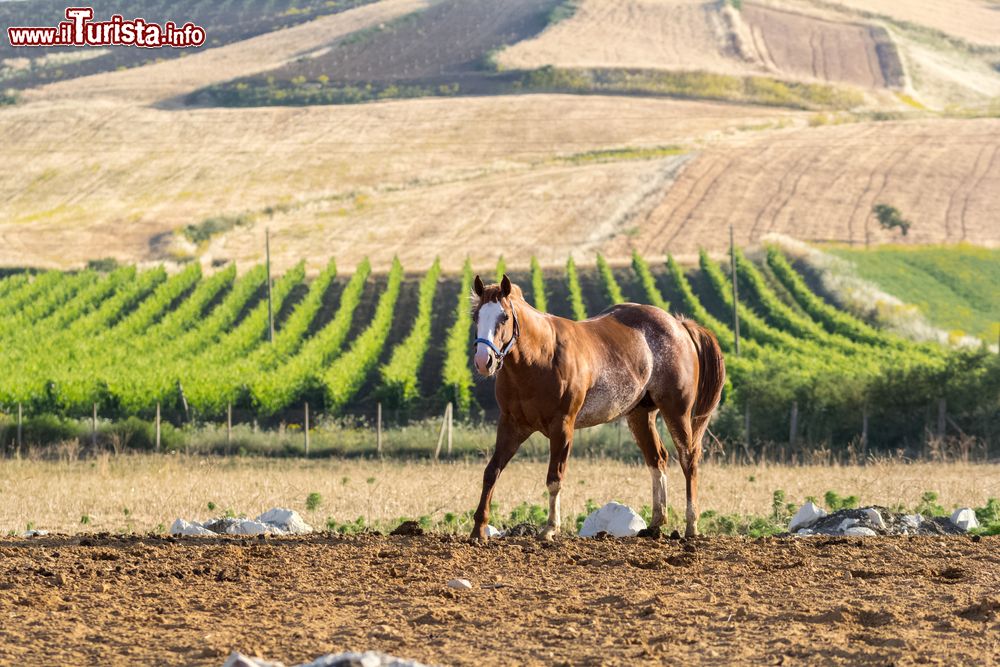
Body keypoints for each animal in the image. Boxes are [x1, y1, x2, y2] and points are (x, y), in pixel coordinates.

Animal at [468, 274, 728, 540]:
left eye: (504, 317)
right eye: (476, 316)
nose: (483, 361)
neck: (540, 357)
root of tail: (679, 325)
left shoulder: (562, 427)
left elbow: (555, 478)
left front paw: (550, 528)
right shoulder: (512, 424)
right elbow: (491, 472)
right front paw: (478, 529)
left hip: (677, 411)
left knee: (689, 458)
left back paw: (691, 525)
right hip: (640, 415)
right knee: (657, 459)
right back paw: (655, 523)